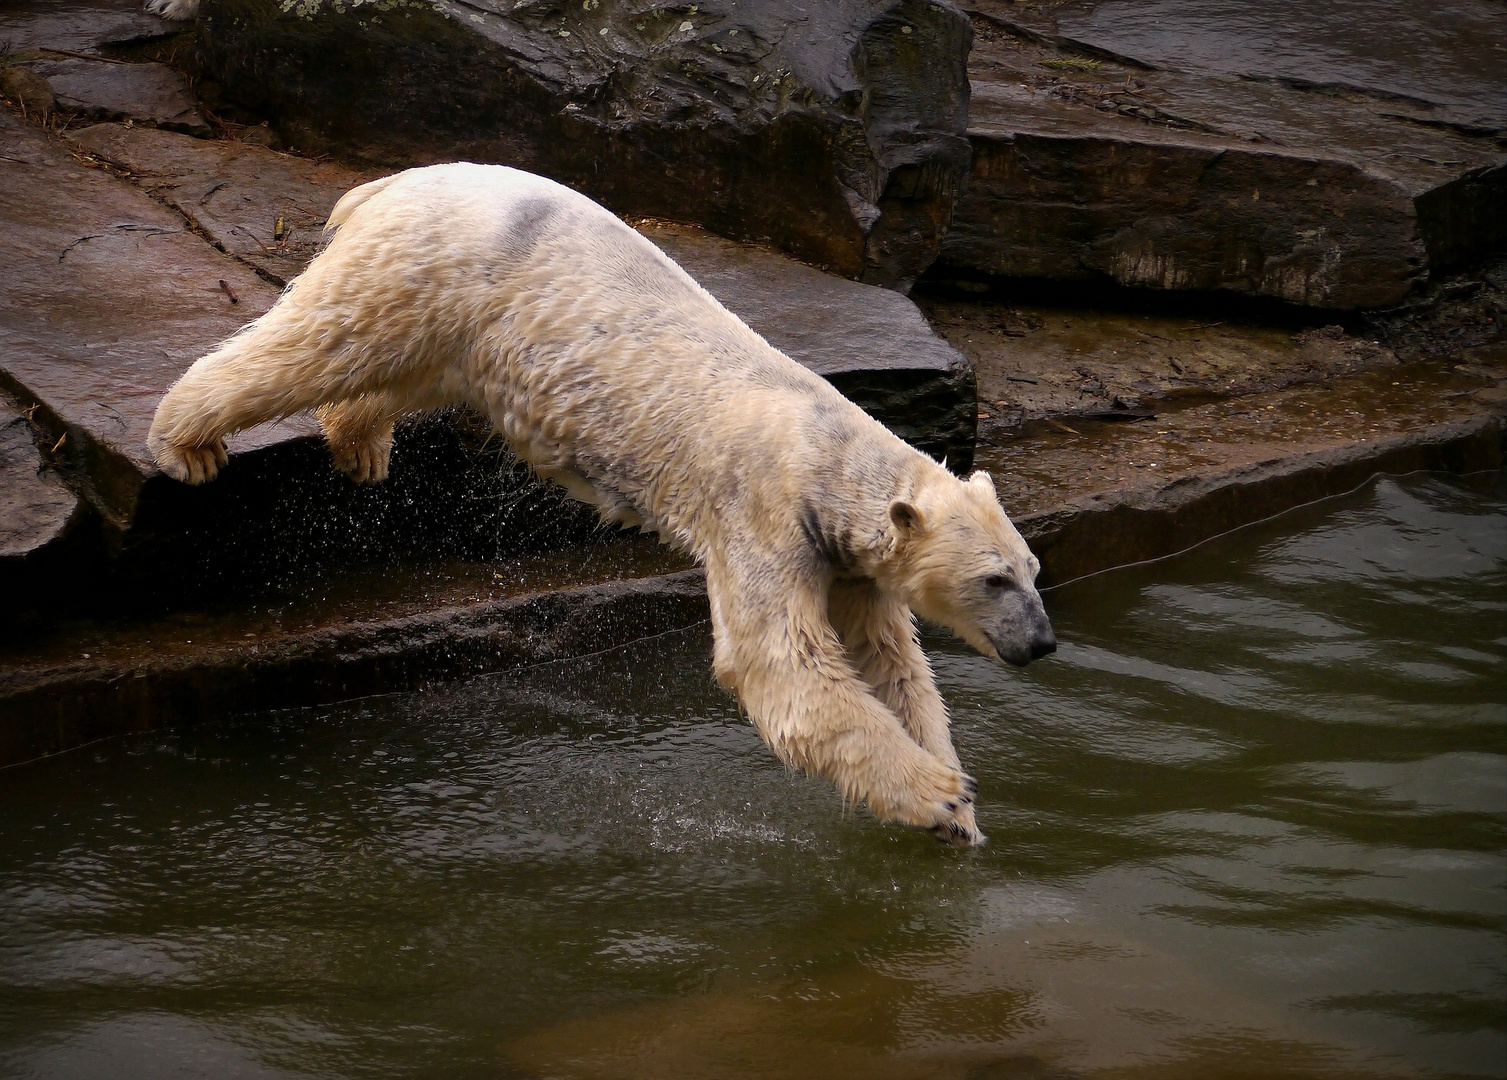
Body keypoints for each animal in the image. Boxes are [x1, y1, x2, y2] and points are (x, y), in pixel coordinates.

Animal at [146, 166, 1054, 843]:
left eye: (1031, 568)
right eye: (992, 580)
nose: (1043, 643)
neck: (825, 453)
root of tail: (394, 181)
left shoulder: (845, 560)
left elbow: (892, 664)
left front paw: (960, 807)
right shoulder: (763, 517)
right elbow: (782, 669)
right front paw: (937, 797)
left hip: (468, 324)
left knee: (398, 366)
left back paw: (360, 441)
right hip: (435, 265)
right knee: (324, 339)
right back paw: (187, 440)